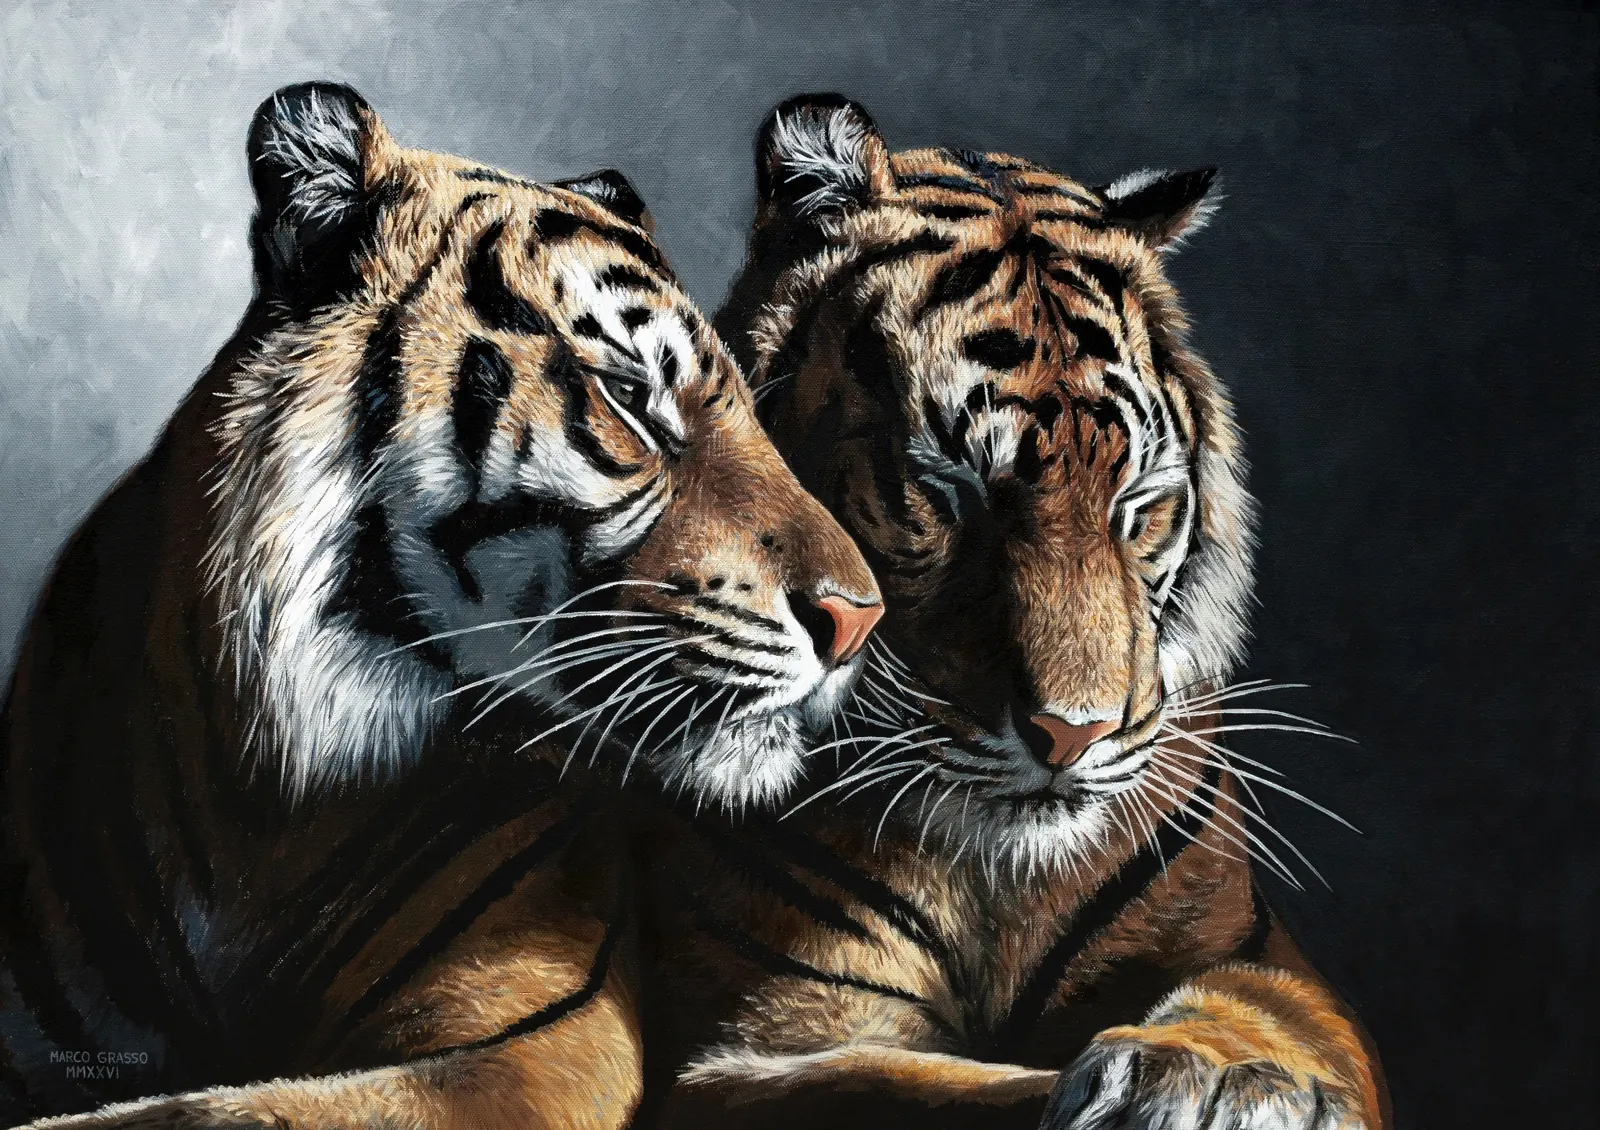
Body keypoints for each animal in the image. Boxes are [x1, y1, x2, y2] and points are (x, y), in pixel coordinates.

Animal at [628, 95, 1390, 1130]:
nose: (1074, 735)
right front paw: (1146, 1083)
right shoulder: (748, 1049)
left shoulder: (1259, 951)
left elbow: (1271, 1008)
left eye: (1136, 502)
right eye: (947, 488)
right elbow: (926, 1085)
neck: (1000, 883)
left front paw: (1222, 1072)